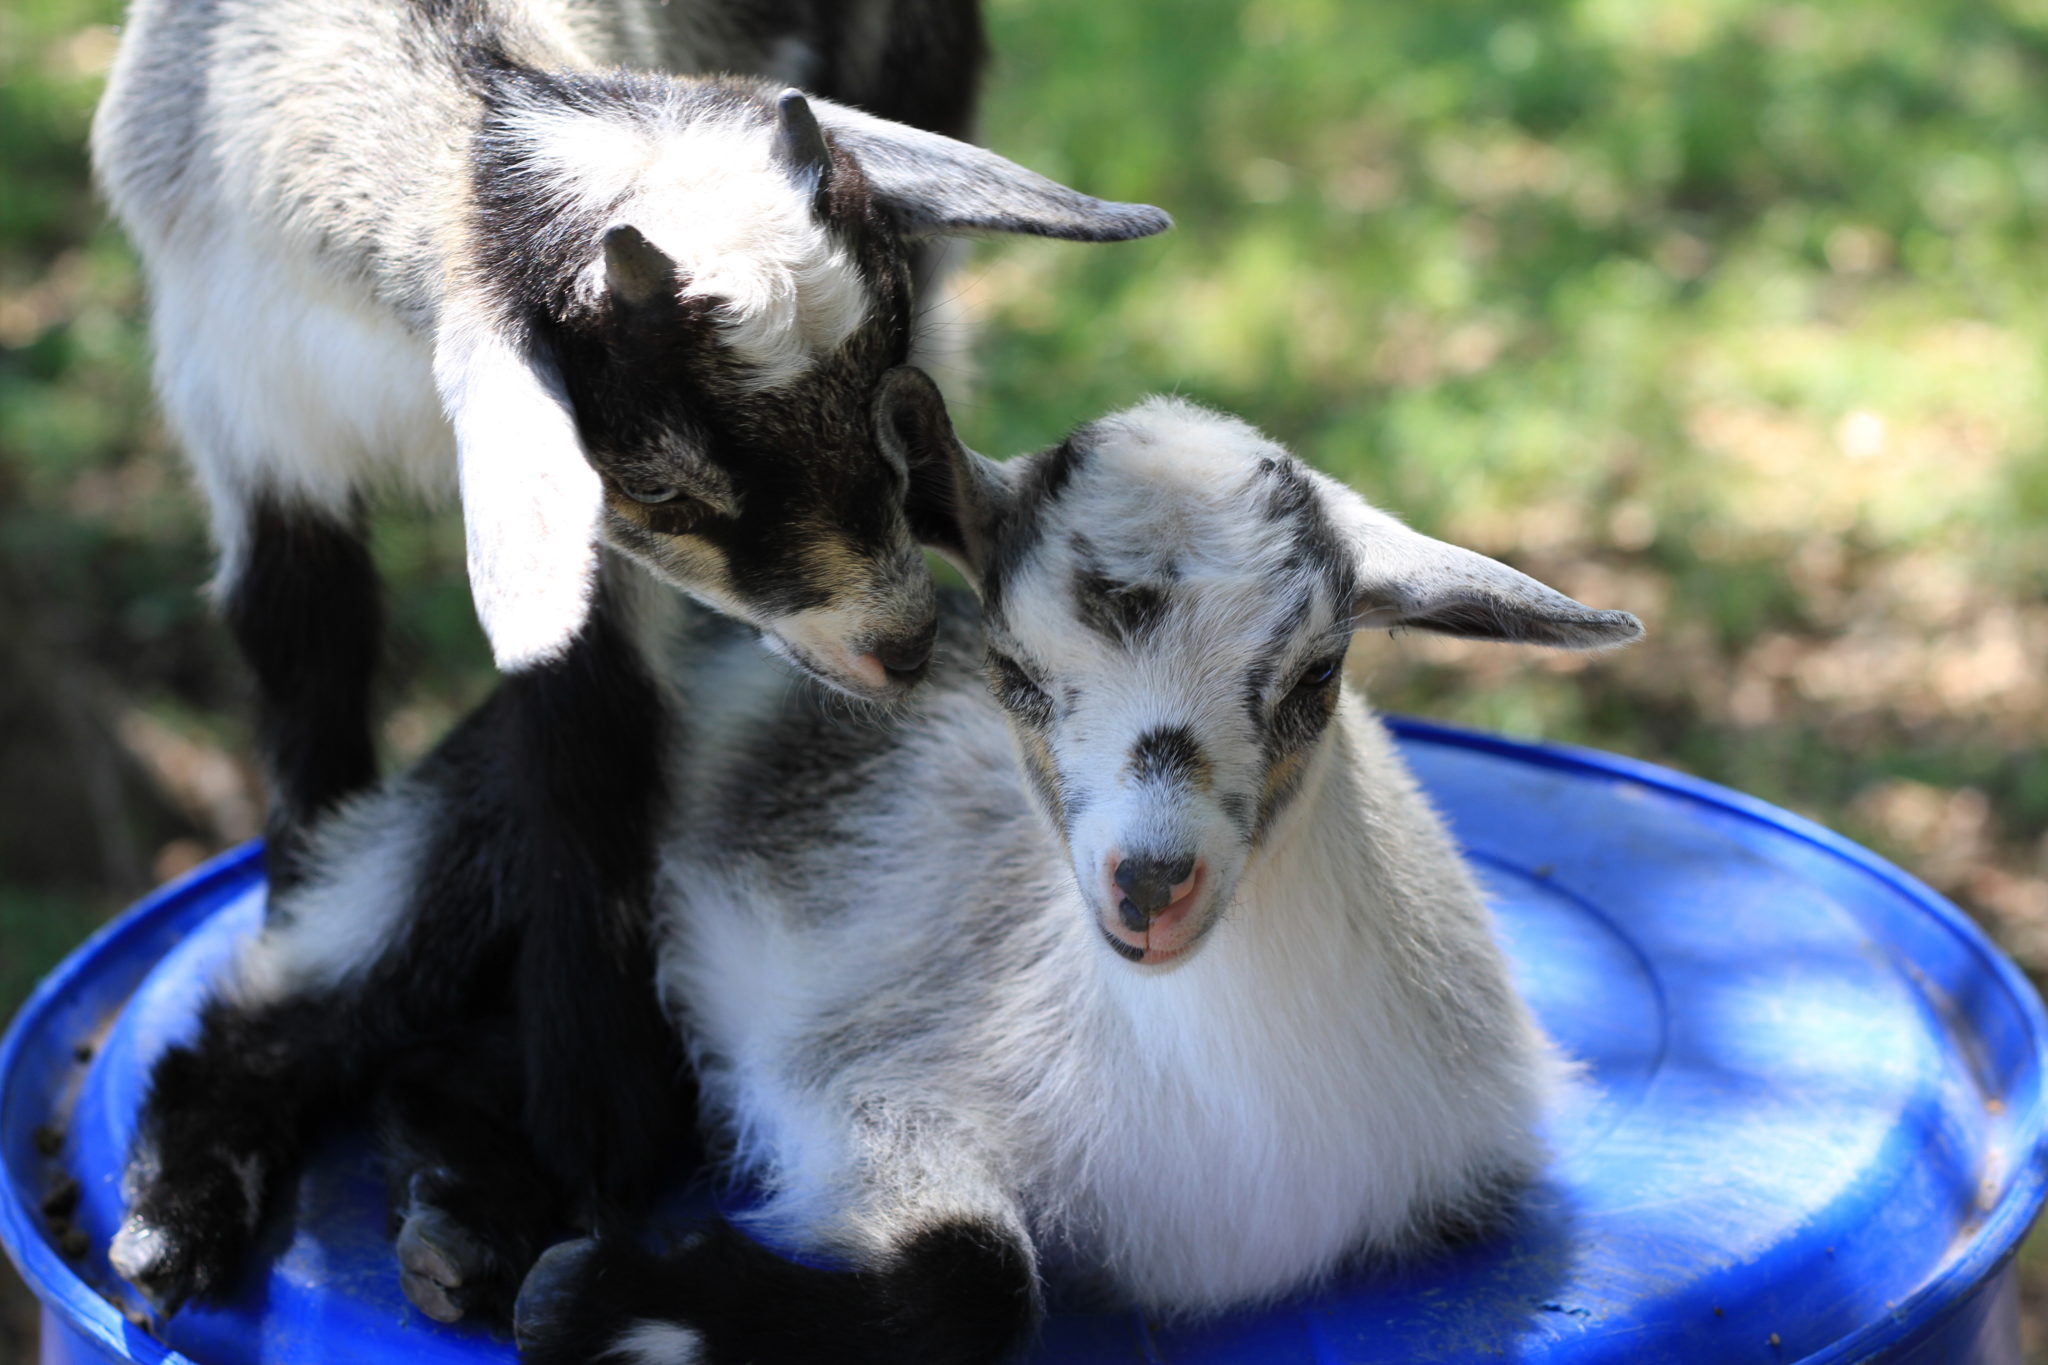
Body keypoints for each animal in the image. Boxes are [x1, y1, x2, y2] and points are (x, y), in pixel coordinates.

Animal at [91, 0, 1169, 1289]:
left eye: (888, 388)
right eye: (657, 480)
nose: (905, 648)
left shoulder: (577, 551)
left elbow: (585, 741)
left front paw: (587, 1133)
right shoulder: (255, 421)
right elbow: (310, 679)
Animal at [112, 371, 1640, 1357]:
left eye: (1319, 674)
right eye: (1014, 672)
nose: (1149, 887)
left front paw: (574, 1287)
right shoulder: (855, 1073)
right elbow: (979, 1276)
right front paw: (603, 1303)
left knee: (453, 1069)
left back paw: (458, 1221)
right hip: (479, 827)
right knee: (275, 1017)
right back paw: (175, 1237)